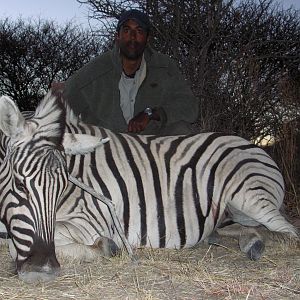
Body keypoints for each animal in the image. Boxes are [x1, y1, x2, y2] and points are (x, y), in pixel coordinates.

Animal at [0, 92, 296, 282]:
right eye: (19, 184)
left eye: (63, 187)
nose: (42, 271)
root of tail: (254, 146)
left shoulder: (92, 220)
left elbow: (17, 245)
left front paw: (106, 247)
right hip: (231, 211)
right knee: (243, 228)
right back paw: (238, 240)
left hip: (249, 196)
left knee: (288, 232)